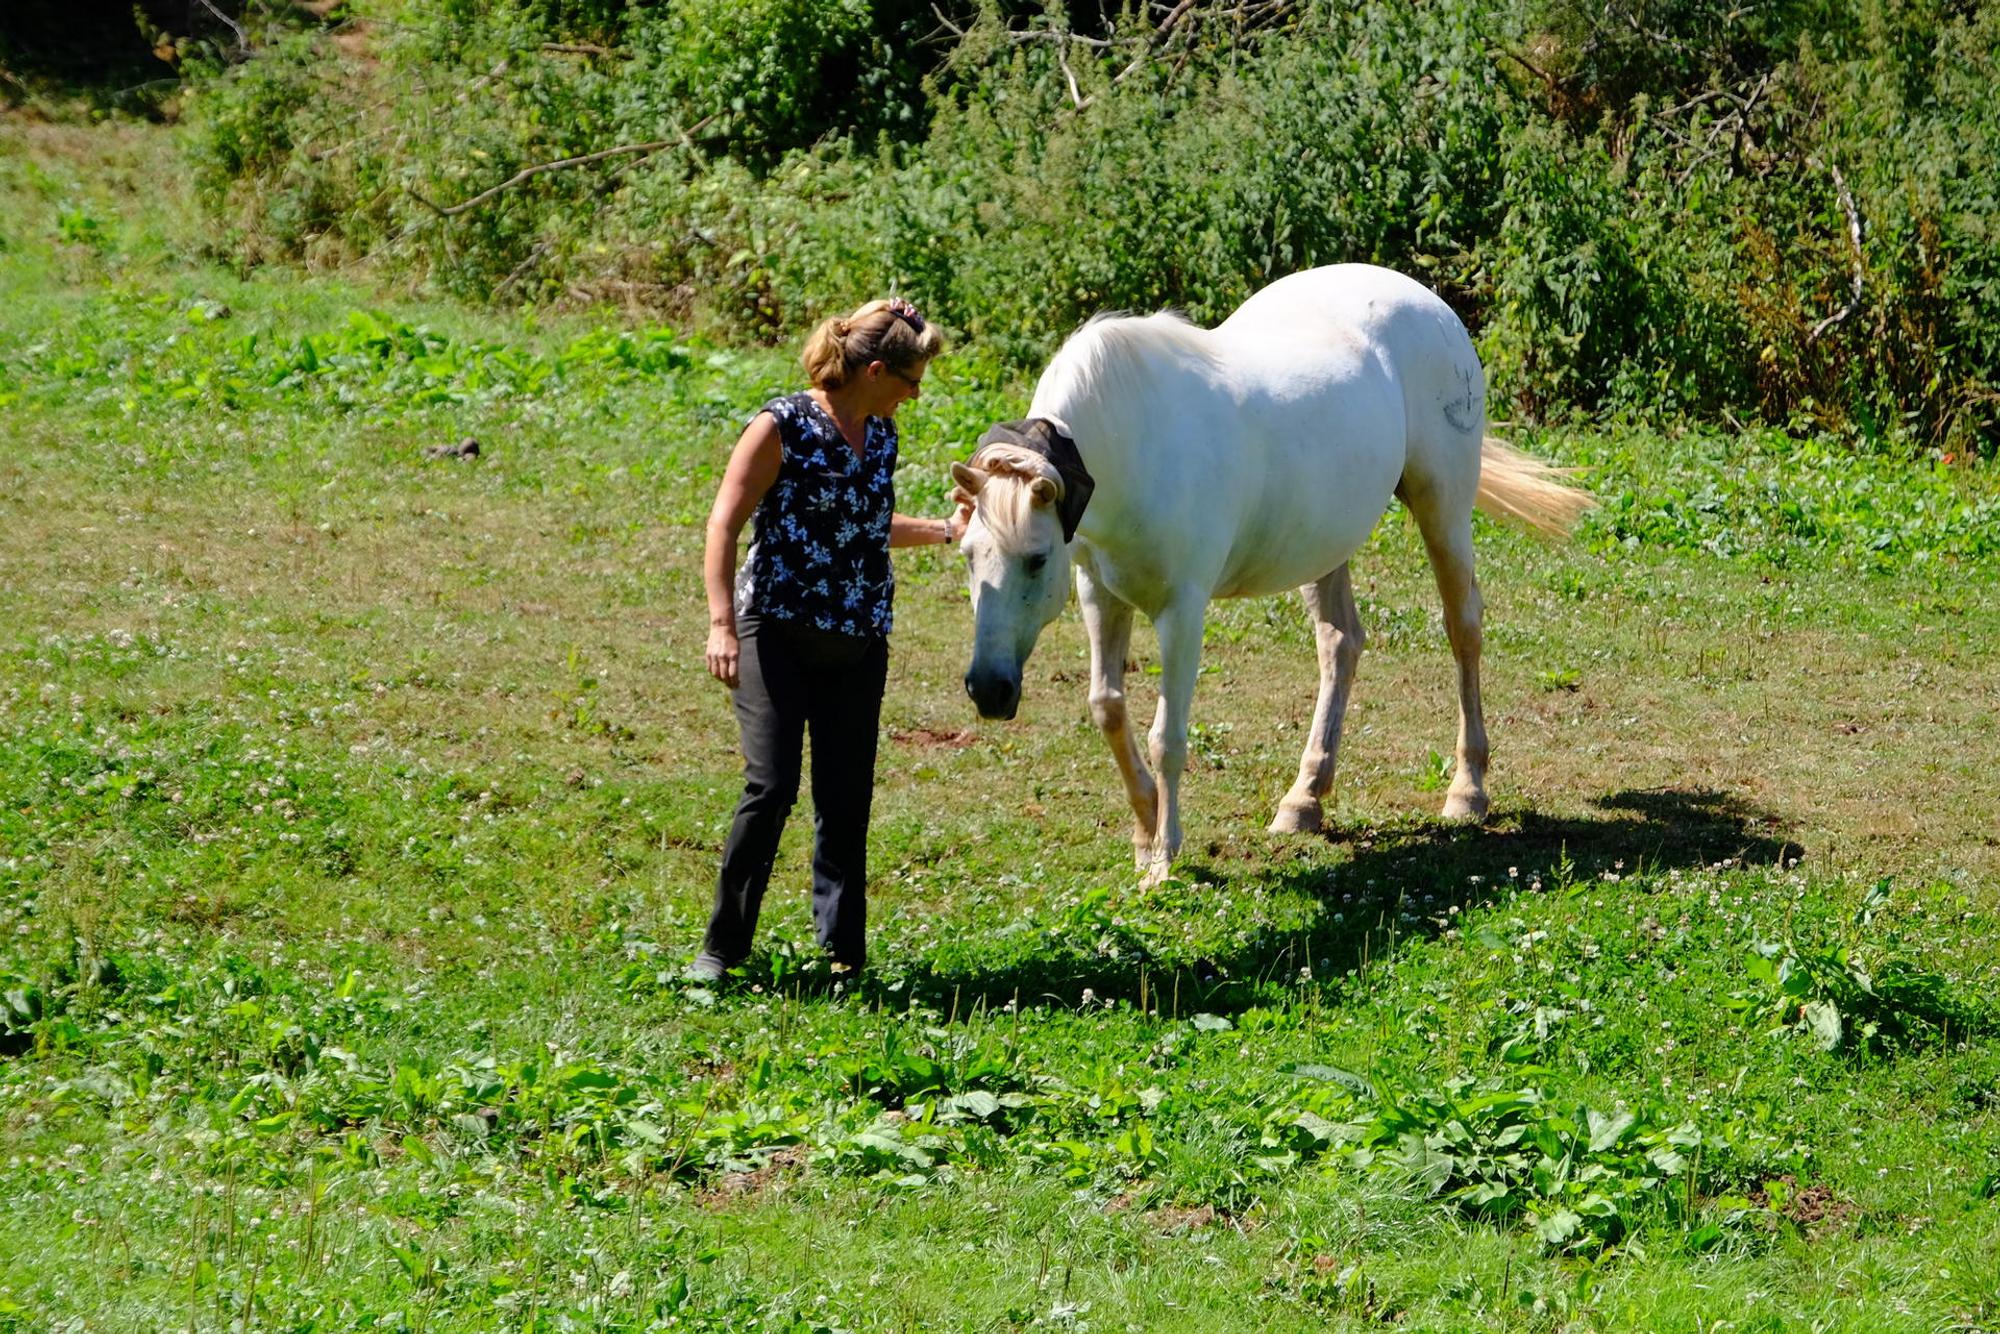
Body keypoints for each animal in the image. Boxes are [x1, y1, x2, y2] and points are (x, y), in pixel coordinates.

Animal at [948, 263, 1592, 884]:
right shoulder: (1099, 596)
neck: (1132, 444)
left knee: (1463, 629)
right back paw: (1304, 799)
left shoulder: (1182, 611)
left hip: (1444, 509)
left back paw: (1467, 790)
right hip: (1325, 542)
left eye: (1036, 558)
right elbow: (1108, 709)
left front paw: (1164, 858)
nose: (988, 689)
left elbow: (1167, 737)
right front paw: (1144, 834)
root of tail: (1428, 302)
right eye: (968, 554)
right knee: (1340, 643)